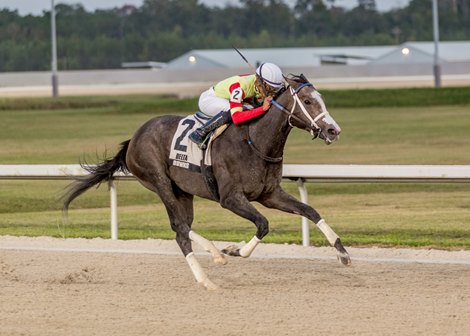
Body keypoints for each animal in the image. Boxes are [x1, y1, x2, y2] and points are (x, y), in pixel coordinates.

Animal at [61, 75, 348, 290]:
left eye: (321, 99)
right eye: (308, 101)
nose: (333, 130)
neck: (254, 141)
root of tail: (133, 139)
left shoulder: (270, 194)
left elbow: (311, 211)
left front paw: (342, 252)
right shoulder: (230, 198)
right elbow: (263, 224)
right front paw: (236, 251)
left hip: (182, 190)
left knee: (182, 225)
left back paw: (215, 255)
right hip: (158, 181)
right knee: (179, 228)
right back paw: (207, 278)